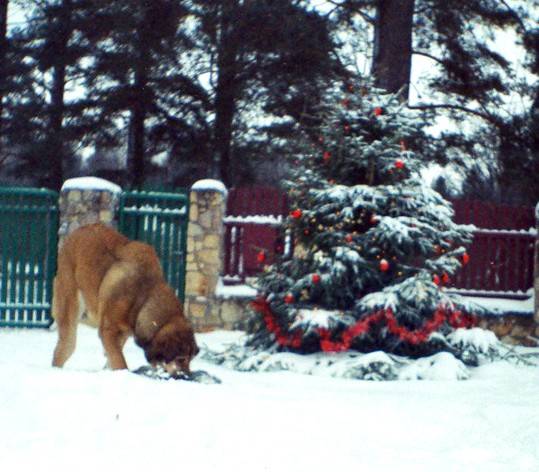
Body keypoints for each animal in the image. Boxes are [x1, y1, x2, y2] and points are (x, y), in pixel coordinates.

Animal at [50, 224, 198, 376]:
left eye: (191, 359)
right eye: (181, 359)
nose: (189, 377)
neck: (143, 296)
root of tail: (78, 230)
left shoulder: (123, 332)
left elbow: (112, 357)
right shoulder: (108, 330)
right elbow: (120, 362)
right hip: (69, 312)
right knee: (62, 350)